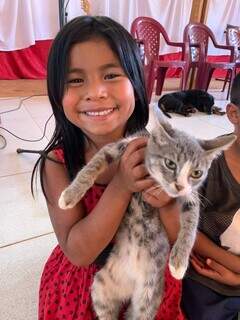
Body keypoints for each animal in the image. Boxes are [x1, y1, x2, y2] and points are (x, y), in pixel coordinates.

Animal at [58, 119, 236, 318]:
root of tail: (128, 287)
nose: (179, 186)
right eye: (170, 164)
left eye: (196, 173)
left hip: (149, 296)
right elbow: (95, 162)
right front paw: (69, 195)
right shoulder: (126, 144)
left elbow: (191, 223)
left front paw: (179, 262)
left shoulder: (191, 195)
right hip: (100, 287)